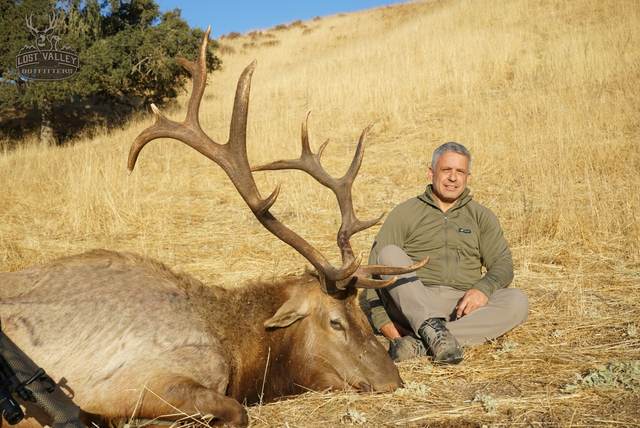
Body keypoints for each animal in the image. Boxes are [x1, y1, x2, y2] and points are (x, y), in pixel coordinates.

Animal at [0, 28, 427, 427]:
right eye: (335, 321)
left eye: (361, 314)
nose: (393, 380)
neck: (239, 353)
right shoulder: (129, 383)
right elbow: (234, 410)